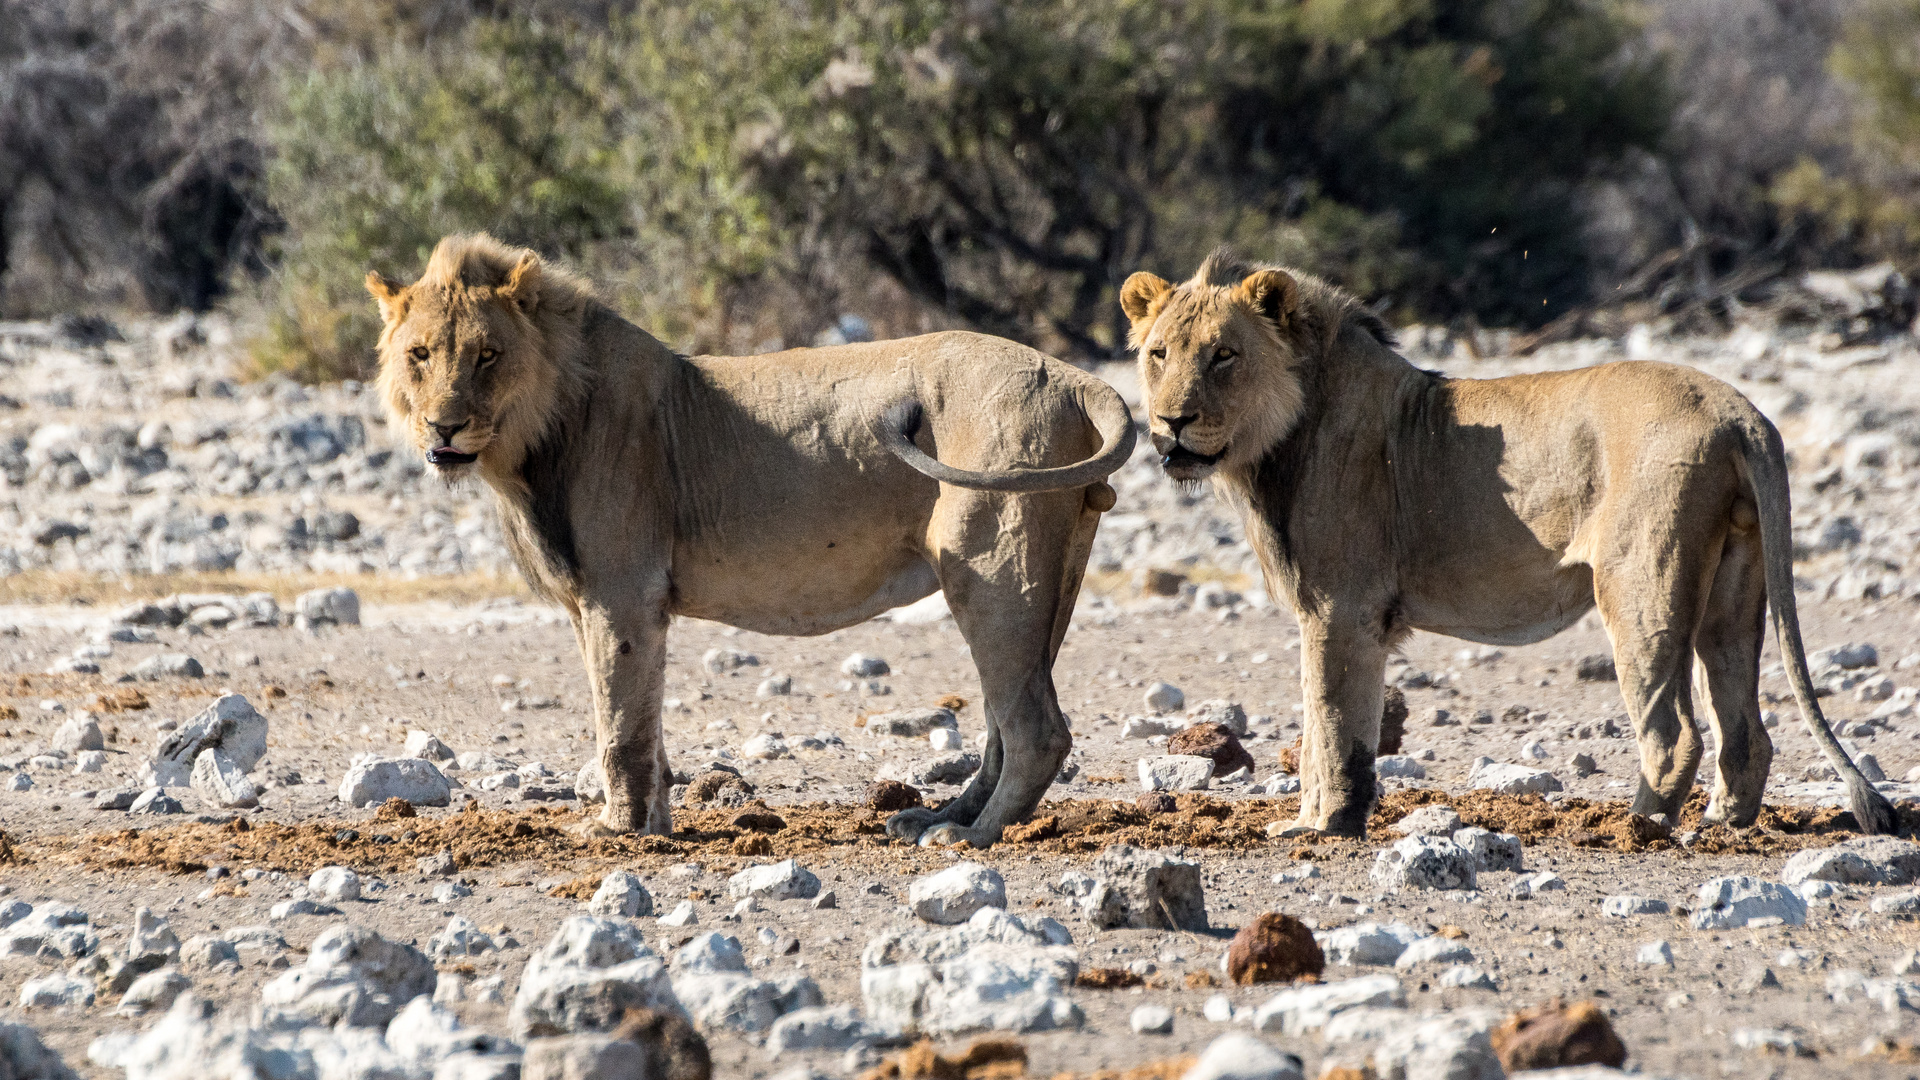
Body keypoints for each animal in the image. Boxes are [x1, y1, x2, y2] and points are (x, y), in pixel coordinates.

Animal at [364, 233, 1128, 841]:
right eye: (420, 355)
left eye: (488, 355)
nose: (444, 426)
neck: (532, 441)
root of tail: (1074, 376)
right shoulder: (607, 605)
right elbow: (644, 723)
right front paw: (655, 825)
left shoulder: (621, 594)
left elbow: (619, 725)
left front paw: (615, 831)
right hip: (1051, 571)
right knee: (1005, 721)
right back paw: (936, 817)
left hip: (989, 562)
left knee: (1035, 729)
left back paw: (969, 836)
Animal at [1121, 249, 1896, 834]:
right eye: (1158, 355)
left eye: (1224, 355)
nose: (1171, 423)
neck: (1273, 447)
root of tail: (1738, 409)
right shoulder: (1350, 616)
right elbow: (1336, 729)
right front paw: (1325, 820)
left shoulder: (1342, 609)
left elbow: (1330, 726)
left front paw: (1320, 826)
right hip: (1732, 593)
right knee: (1745, 732)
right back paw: (1721, 823)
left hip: (1641, 586)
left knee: (1675, 732)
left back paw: (1636, 826)